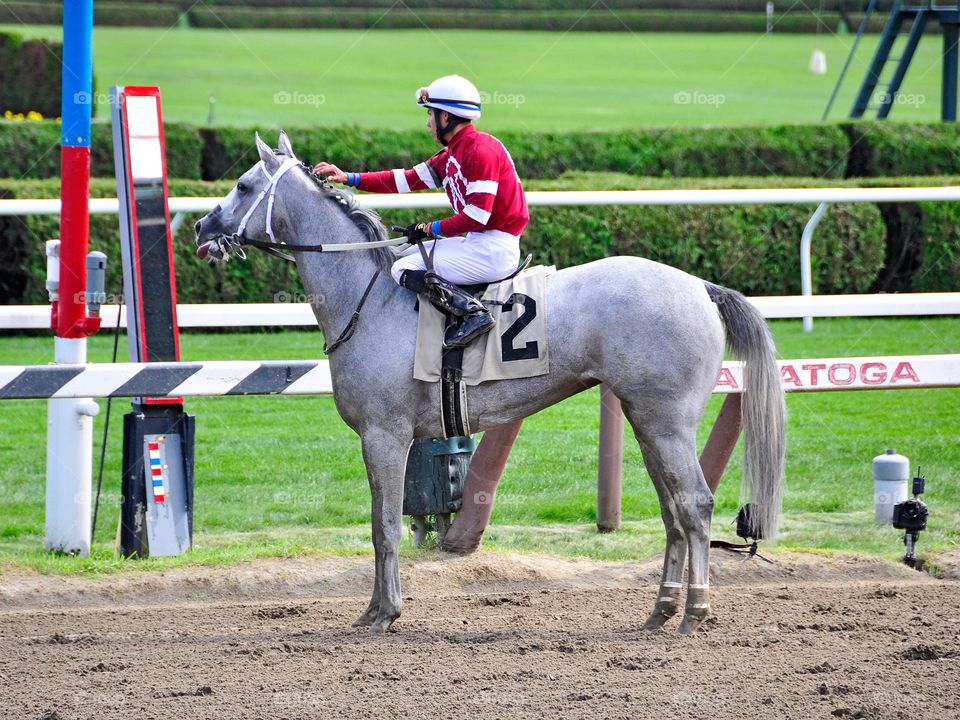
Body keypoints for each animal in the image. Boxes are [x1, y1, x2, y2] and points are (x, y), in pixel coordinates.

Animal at [197, 132, 788, 632]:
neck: (370, 298)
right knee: (673, 510)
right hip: (646, 421)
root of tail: (701, 286)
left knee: (695, 504)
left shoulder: (384, 436)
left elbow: (384, 525)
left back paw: (695, 612)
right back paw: (661, 610)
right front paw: (374, 609)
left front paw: (386, 612)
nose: (202, 229)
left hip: (666, 422)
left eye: (243, 185)